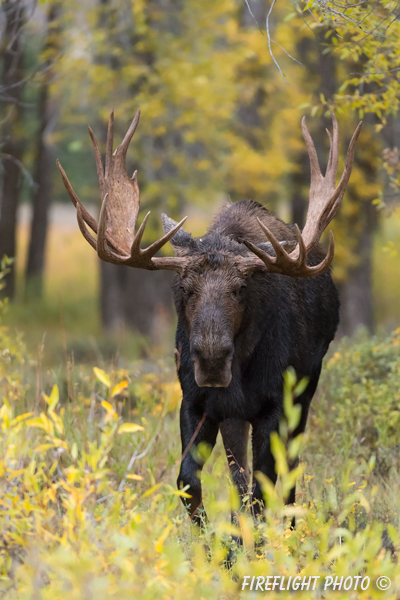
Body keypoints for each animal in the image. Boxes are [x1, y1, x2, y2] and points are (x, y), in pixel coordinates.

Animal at [57, 111, 360, 524]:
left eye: (241, 289)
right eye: (184, 288)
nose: (212, 359)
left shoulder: (275, 404)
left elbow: (264, 487)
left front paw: (257, 539)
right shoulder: (196, 401)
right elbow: (189, 482)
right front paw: (213, 537)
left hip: (305, 389)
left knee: (288, 471)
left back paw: (290, 524)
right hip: (234, 414)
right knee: (239, 473)